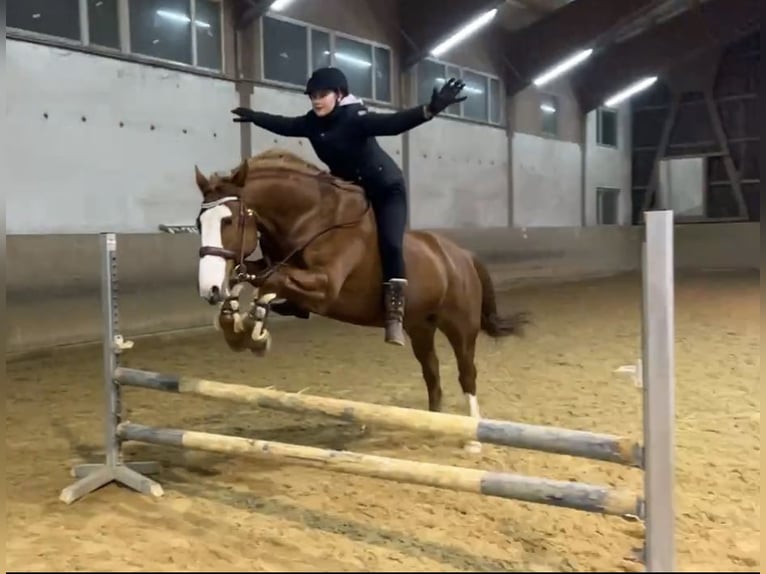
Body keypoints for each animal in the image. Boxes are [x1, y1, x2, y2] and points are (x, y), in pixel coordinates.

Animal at [194, 150, 528, 454]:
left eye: (229, 221)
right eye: (199, 223)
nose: (209, 290)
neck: (310, 219)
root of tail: (463, 255)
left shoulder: (324, 287)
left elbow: (268, 282)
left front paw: (252, 332)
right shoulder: (279, 270)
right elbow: (248, 276)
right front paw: (233, 321)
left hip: (460, 326)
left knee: (466, 373)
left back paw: (473, 440)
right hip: (420, 326)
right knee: (431, 372)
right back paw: (435, 425)